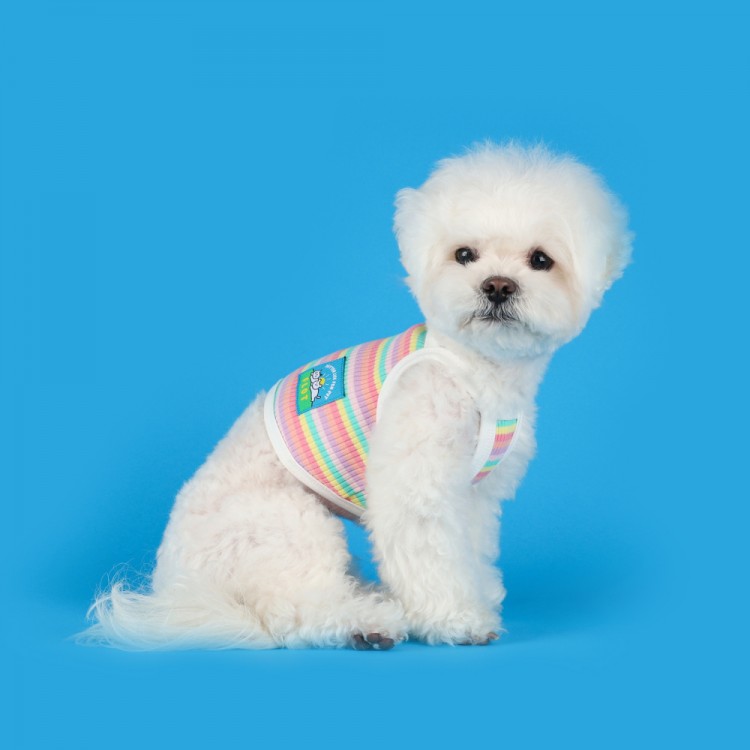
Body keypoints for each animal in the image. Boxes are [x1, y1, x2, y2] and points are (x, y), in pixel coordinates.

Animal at [82, 142, 631, 650]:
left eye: (541, 260)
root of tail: (176, 591)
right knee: (295, 611)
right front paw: (457, 620)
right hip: (286, 524)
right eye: (464, 255)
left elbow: (469, 552)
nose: (496, 286)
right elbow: (430, 554)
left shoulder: (472, 495)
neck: (477, 370)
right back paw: (365, 624)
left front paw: (478, 598)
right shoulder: (418, 484)